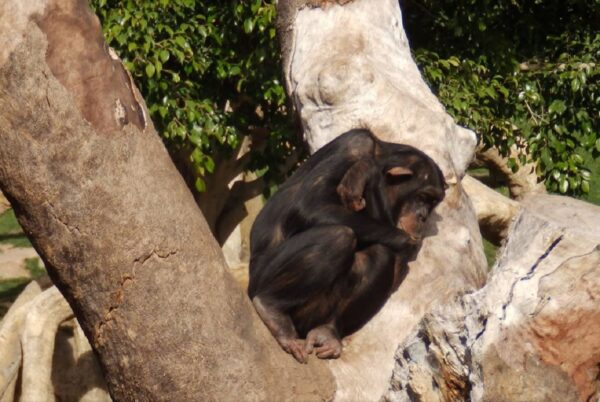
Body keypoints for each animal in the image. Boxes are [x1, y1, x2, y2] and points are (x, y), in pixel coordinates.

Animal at [246, 130, 448, 364]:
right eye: (423, 197)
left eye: (432, 203)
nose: (423, 216)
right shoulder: (355, 145)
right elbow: (312, 205)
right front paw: (367, 169)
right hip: (262, 280)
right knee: (339, 236)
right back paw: (273, 311)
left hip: (311, 317)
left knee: (383, 254)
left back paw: (328, 333)